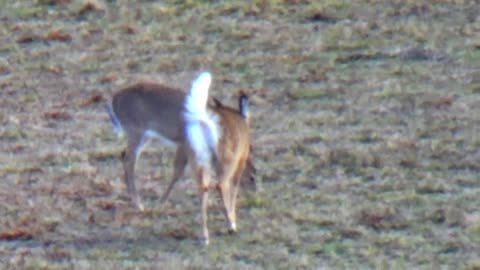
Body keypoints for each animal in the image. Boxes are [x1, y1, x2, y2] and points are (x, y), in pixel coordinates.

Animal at [107, 72, 253, 245]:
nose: (253, 176)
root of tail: (115, 100)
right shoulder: (185, 145)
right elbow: (178, 172)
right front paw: (160, 204)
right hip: (137, 132)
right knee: (129, 160)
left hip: (144, 137)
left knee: (124, 155)